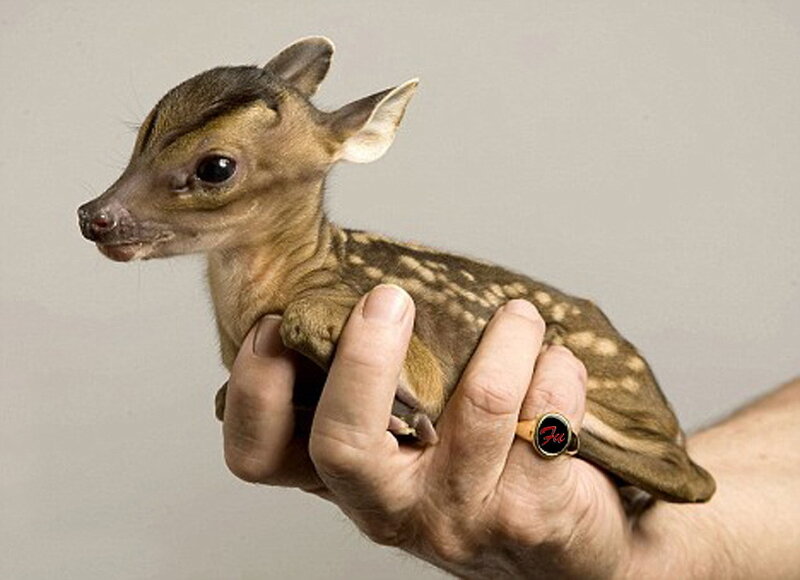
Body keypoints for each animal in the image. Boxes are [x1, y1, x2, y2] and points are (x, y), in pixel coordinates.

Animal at [77, 36, 715, 503]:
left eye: (216, 167)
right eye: (141, 136)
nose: (93, 216)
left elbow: (311, 322)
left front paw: (408, 418)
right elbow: (218, 400)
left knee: (694, 477)